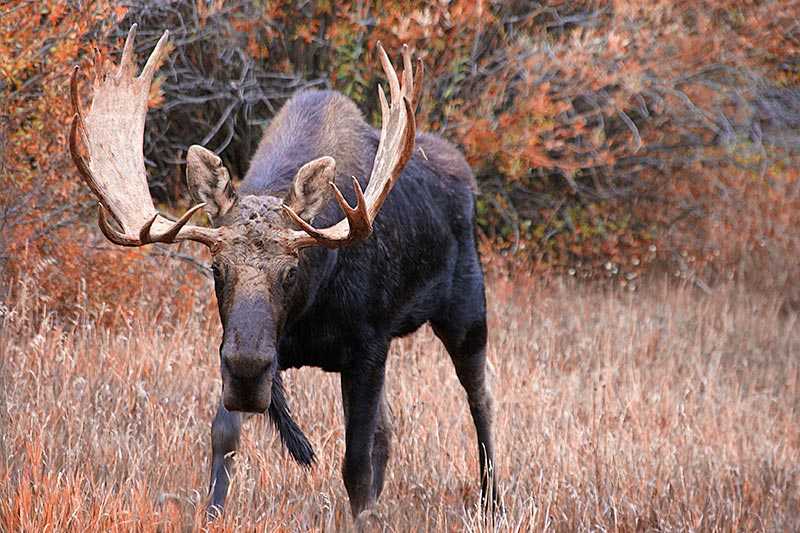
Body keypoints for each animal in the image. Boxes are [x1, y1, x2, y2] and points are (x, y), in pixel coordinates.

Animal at [69, 26, 496, 520]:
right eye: (216, 269)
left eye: (291, 271)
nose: (248, 369)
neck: (309, 312)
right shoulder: (249, 351)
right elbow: (224, 438)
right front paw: (213, 514)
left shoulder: (368, 347)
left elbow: (355, 467)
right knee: (390, 431)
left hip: (466, 310)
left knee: (481, 399)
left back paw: (493, 501)